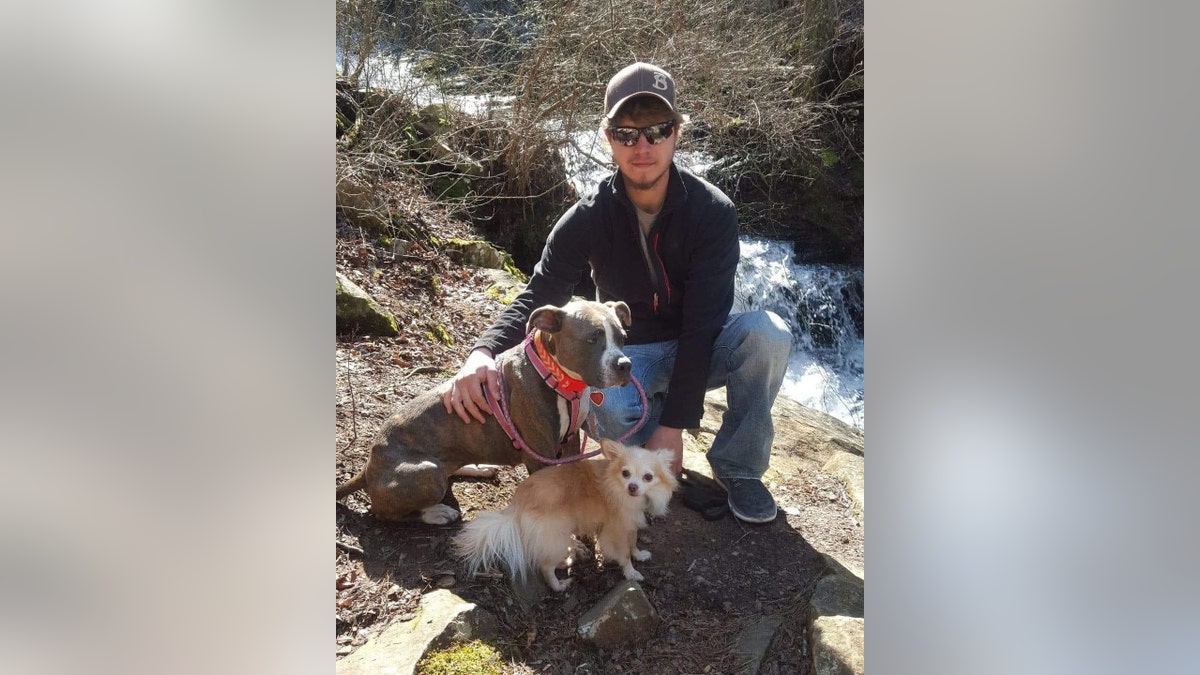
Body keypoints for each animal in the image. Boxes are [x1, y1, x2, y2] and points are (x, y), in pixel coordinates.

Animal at [333, 296, 633, 523]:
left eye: (622, 337)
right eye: (593, 338)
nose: (625, 365)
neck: (556, 374)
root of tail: (369, 465)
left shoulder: (569, 441)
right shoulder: (540, 455)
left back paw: (479, 467)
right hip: (426, 472)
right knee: (386, 513)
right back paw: (436, 513)